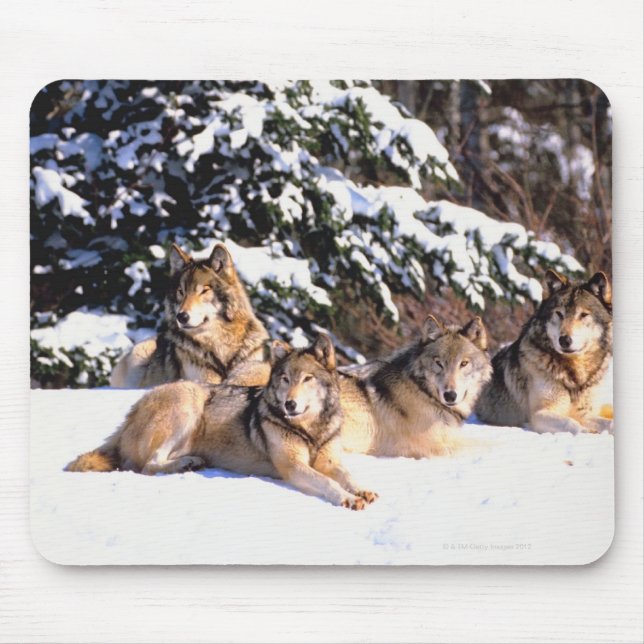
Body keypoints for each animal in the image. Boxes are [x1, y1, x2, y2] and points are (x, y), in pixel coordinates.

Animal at [67, 334, 378, 510]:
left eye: (307, 379)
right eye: (285, 379)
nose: (289, 404)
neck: (310, 429)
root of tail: (129, 416)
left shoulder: (329, 460)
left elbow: (347, 476)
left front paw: (362, 490)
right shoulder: (293, 466)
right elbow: (328, 482)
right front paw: (348, 499)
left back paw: (191, 461)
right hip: (188, 401)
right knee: (149, 465)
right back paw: (186, 464)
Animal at [110, 243, 271, 389]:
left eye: (204, 290)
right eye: (181, 291)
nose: (181, 317)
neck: (220, 346)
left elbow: (257, 372)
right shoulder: (201, 378)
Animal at [338, 315, 492, 458]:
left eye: (464, 363)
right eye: (439, 363)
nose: (450, 395)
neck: (423, 391)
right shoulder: (435, 447)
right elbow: (487, 445)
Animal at [475, 270, 613, 434]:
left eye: (583, 315)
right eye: (559, 314)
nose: (564, 340)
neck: (574, 375)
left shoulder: (585, 414)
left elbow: (609, 423)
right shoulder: (539, 415)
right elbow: (570, 423)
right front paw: (586, 432)